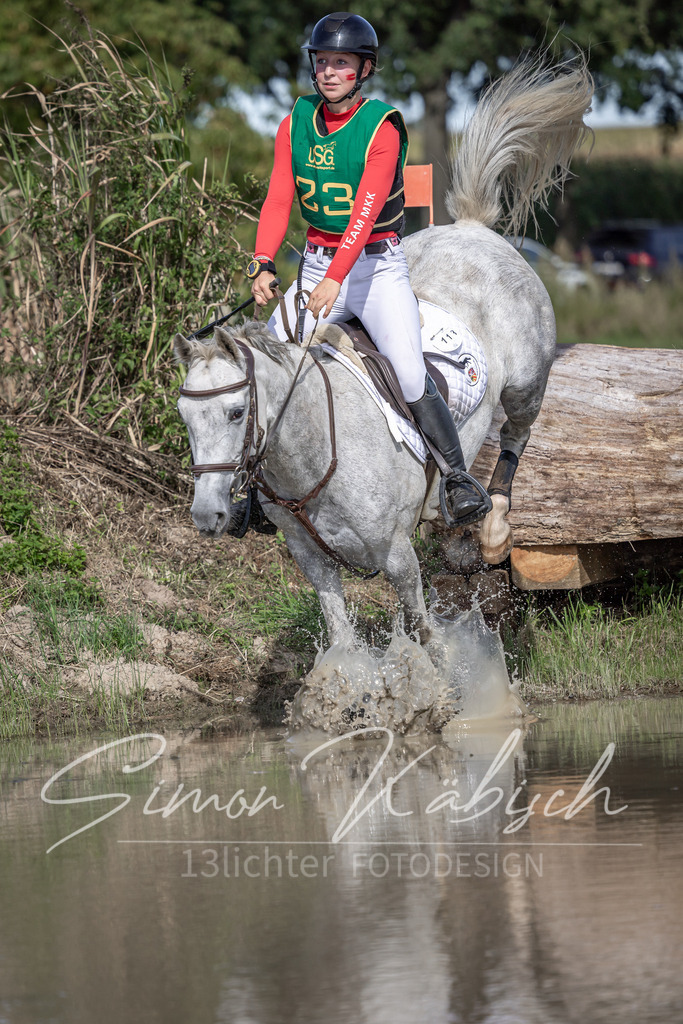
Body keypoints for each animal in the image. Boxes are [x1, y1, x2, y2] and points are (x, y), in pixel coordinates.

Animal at [174, 57, 593, 650]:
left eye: (236, 413)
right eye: (185, 417)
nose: (207, 516)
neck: (311, 454)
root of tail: (471, 228)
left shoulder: (397, 557)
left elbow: (424, 634)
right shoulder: (311, 559)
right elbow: (342, 642)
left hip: (527, 382)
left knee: (516, 432)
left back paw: (490, 523)